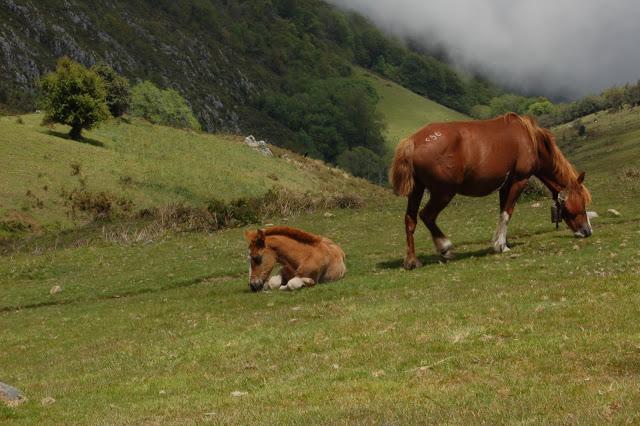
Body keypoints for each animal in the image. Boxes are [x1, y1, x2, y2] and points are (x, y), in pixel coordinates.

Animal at [390, 113, 596, 270]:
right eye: (581, 202)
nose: (587, 231)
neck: (529, 138)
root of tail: (413, 141)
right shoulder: (518, 181)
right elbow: (507, 212)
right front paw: (501, 246)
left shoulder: (505, 185)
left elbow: (502, 212)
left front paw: (501, 241)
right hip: (443, 193)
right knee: (427, 216)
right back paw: (445, 247)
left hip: (417, 189)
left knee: (410, 219)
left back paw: (412, 261)